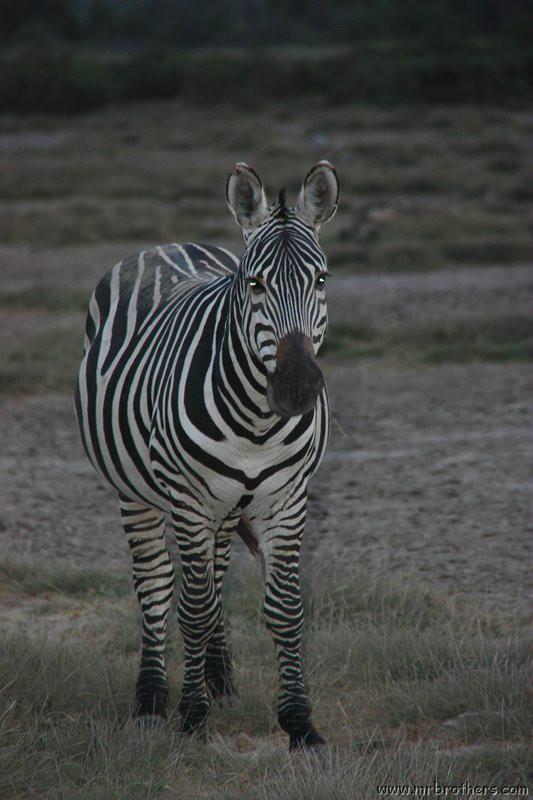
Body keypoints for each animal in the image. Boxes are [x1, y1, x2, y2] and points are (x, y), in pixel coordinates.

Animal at [75, 160, 339, 750]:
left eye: (321, 280)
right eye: (255, 284)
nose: (297, 388)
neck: (256, 424)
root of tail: (170, 243)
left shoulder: (287, 500)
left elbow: (285, 610)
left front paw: (300, 723)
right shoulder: (190, 500)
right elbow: (191, 610)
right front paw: (191, 717)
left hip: (224, 507)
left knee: (215, 579)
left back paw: (221, 681)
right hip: (138, 493)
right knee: (156, 585)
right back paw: (152, 700)